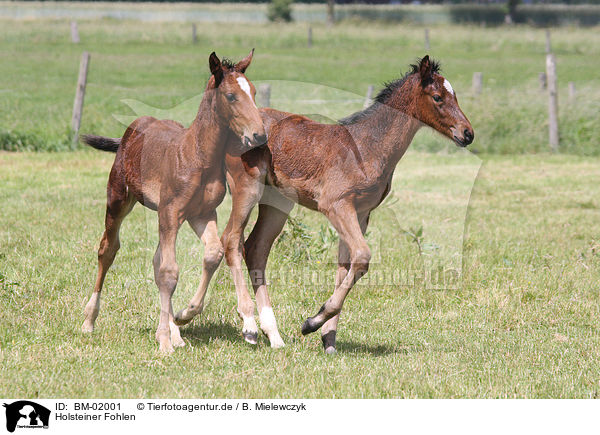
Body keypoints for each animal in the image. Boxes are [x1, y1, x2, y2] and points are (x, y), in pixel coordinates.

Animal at [81, 50, 264, 354]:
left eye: (254, 91)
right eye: (230, 96)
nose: (260, 135)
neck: (199, 156)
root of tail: (131, 131)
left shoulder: (201, 213)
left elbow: (211, 254)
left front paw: (182, 319)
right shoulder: (170, 211)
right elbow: (169, 271)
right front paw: (165, 342)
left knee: (156, 261)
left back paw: (173, 331)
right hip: (118, 199)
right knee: (108, 249)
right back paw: (89, 321)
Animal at [176, 55, 476, 354]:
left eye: (455, 95)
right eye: (437, 97)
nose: (468, 133)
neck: (367, 147)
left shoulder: (361, 213)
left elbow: (347, 264)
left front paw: (327, 337)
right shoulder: (336, 205)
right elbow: (363, 257)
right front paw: (312, 322)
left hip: (278, 202)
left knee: (256, 249)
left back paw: (273, 335)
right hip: (247, 188)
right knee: (231, 240)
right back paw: (237, 323)